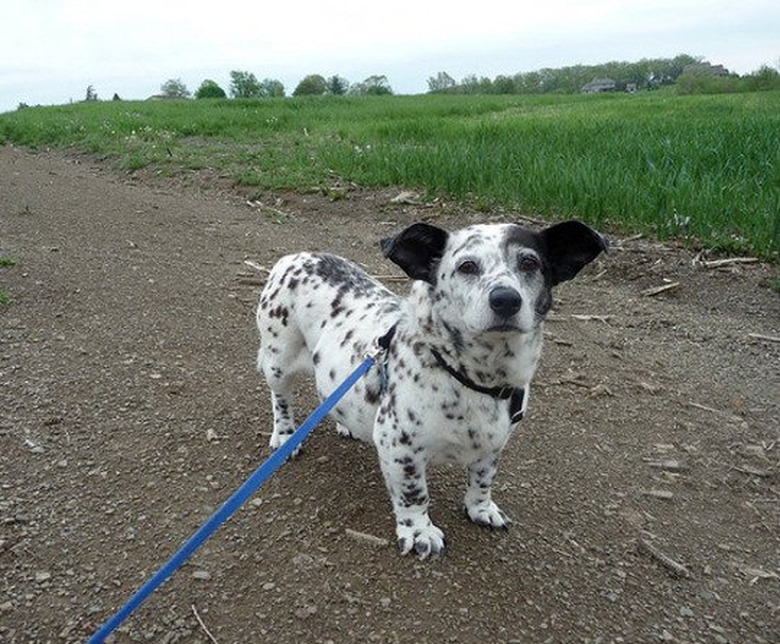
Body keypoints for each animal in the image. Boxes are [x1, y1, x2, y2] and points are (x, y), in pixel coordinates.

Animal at [258, 219, 608, 556]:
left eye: (529, 262)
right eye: (467, 266)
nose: (506, 299)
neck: (473, 378)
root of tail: (294, 256)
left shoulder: (494, 444)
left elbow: (483, 479)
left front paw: (480, 509)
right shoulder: (400, 448)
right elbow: (414, 494)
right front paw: (418, 531)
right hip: (279, 361)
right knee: (281, 398)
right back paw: (286, 435)